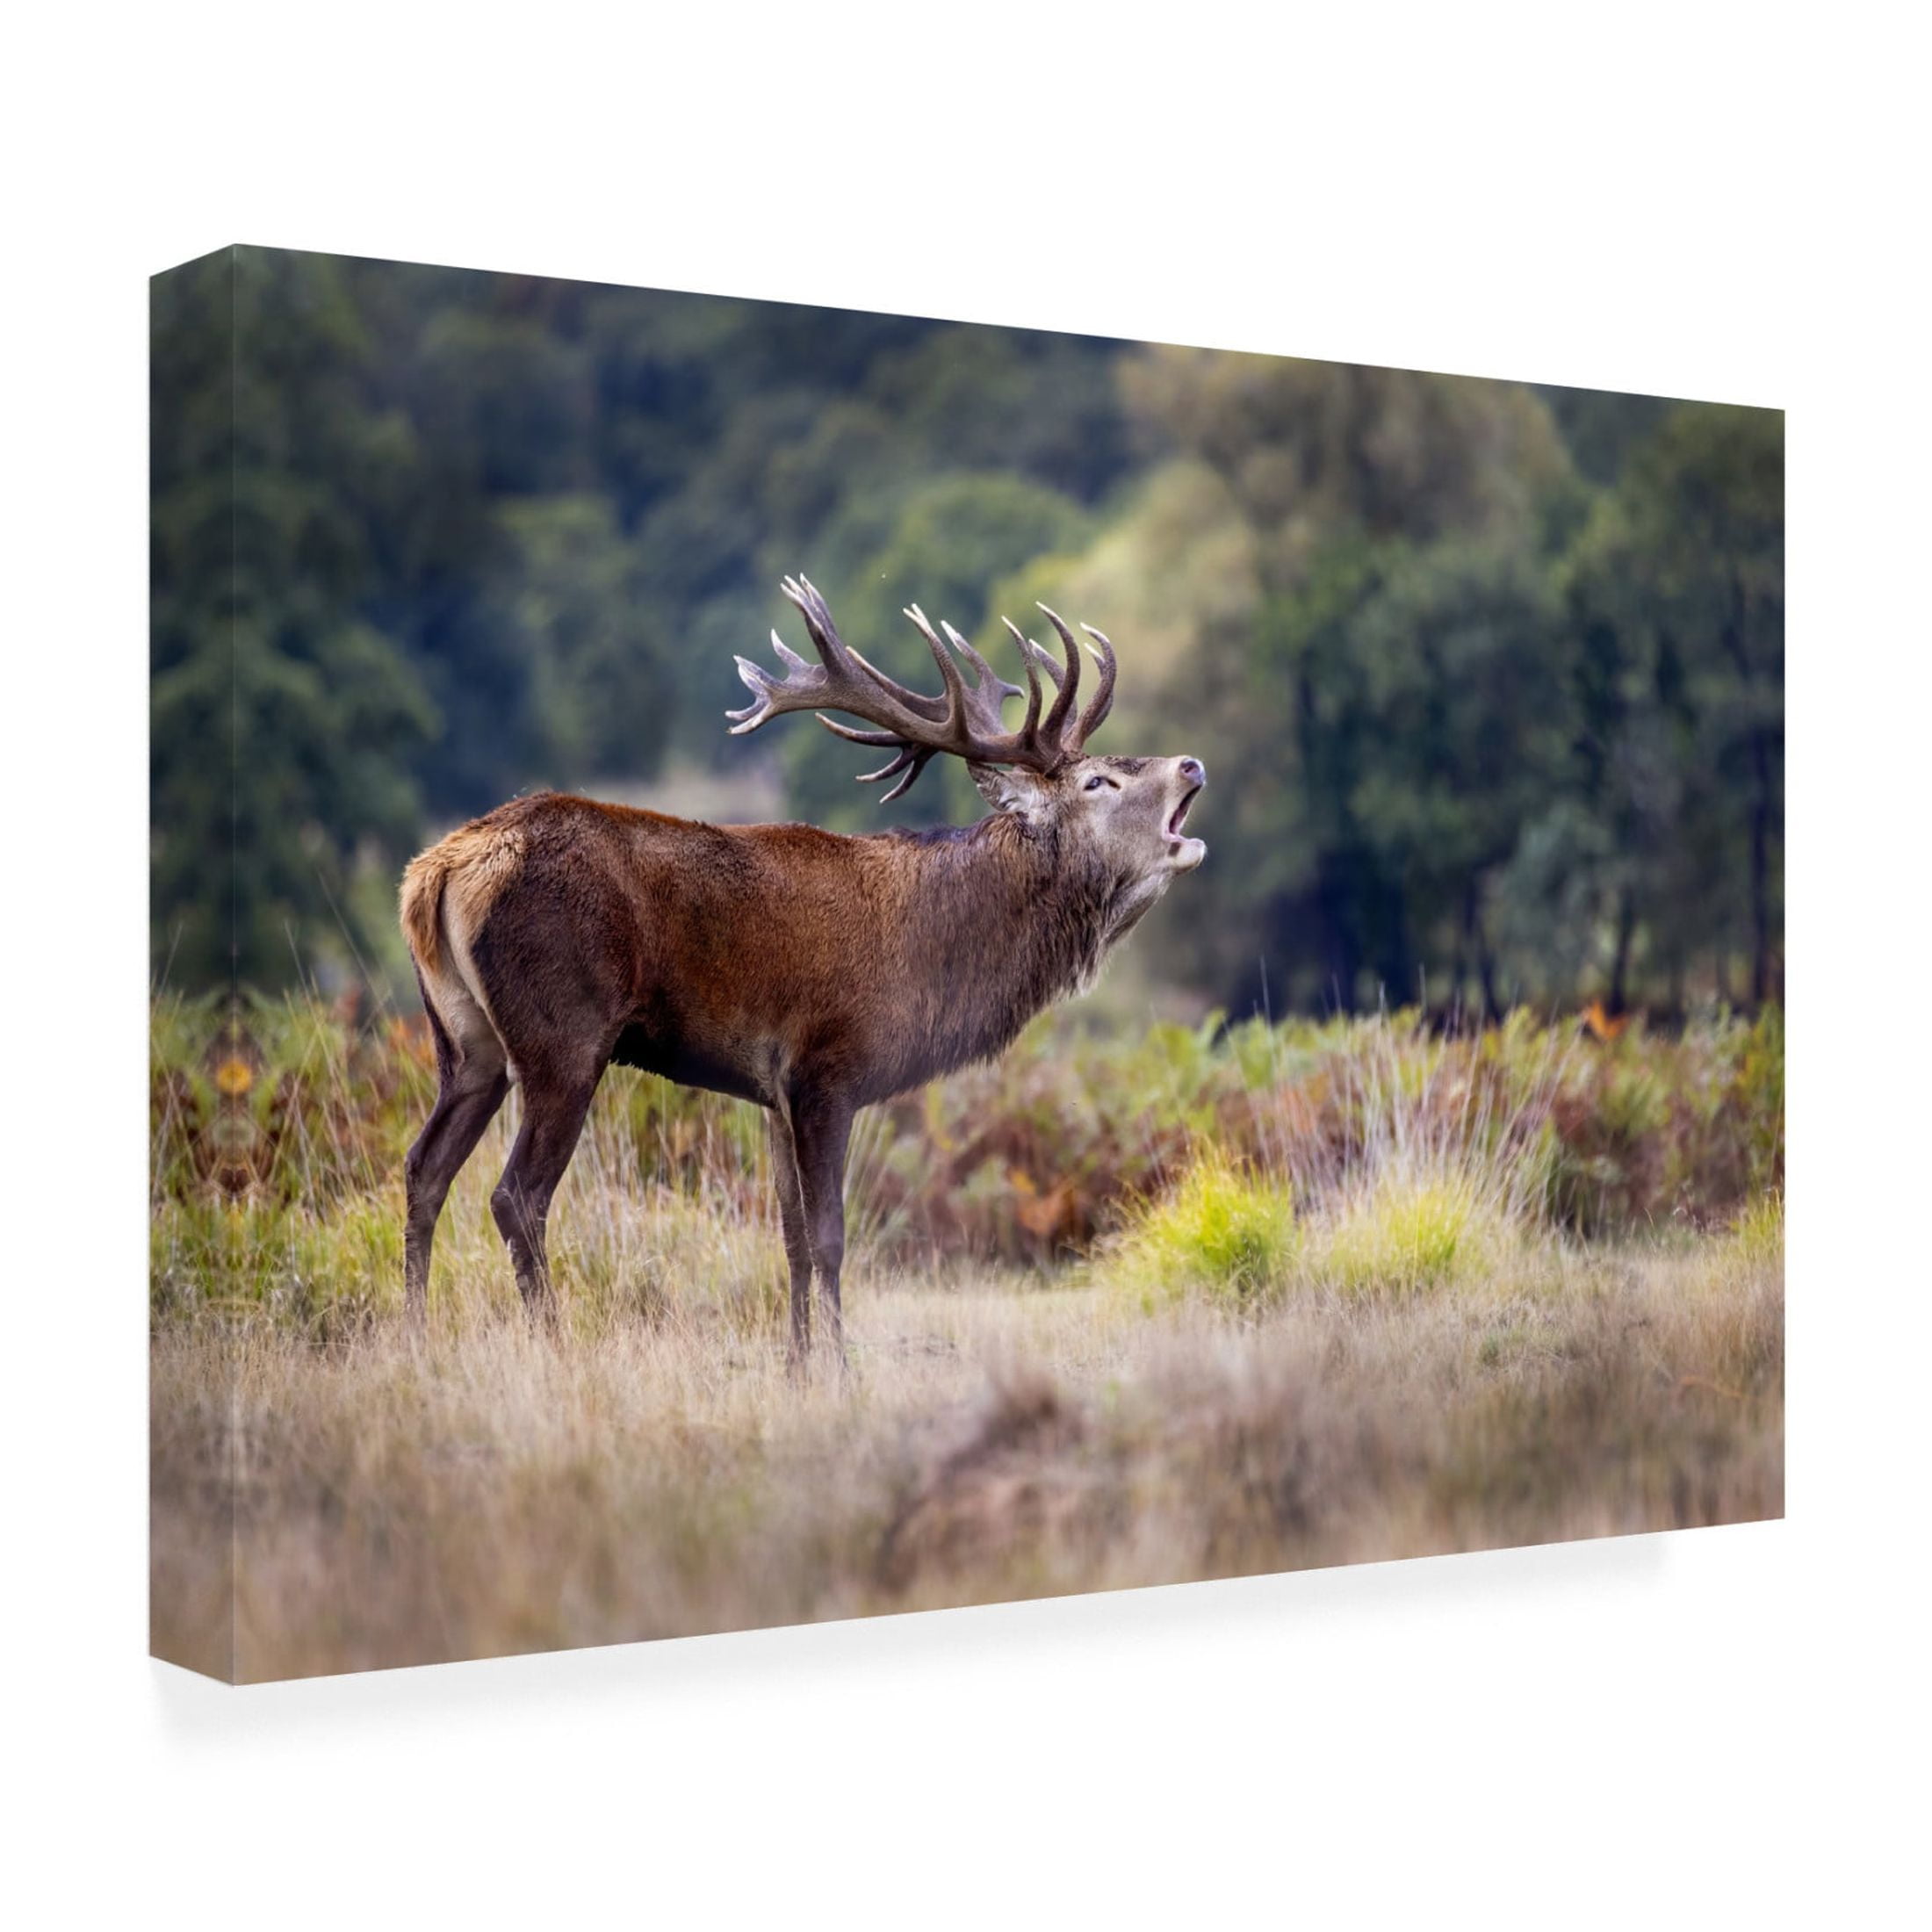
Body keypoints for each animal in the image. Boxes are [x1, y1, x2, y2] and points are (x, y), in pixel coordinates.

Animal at [398, 576, 1207, 1368]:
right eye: (1098, 782)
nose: (1191, 763)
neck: (933, 956)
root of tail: (436, 872)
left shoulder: (770, 1090)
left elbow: (787, 1238)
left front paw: (795, 1364)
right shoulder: (826, 1070)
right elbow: (829, 1238)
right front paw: (840, 1368)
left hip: (466, 1044)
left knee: (423, 1168)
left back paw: (412, 1339)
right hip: (563, 1036)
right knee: (515, 1196)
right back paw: (555, 1347)